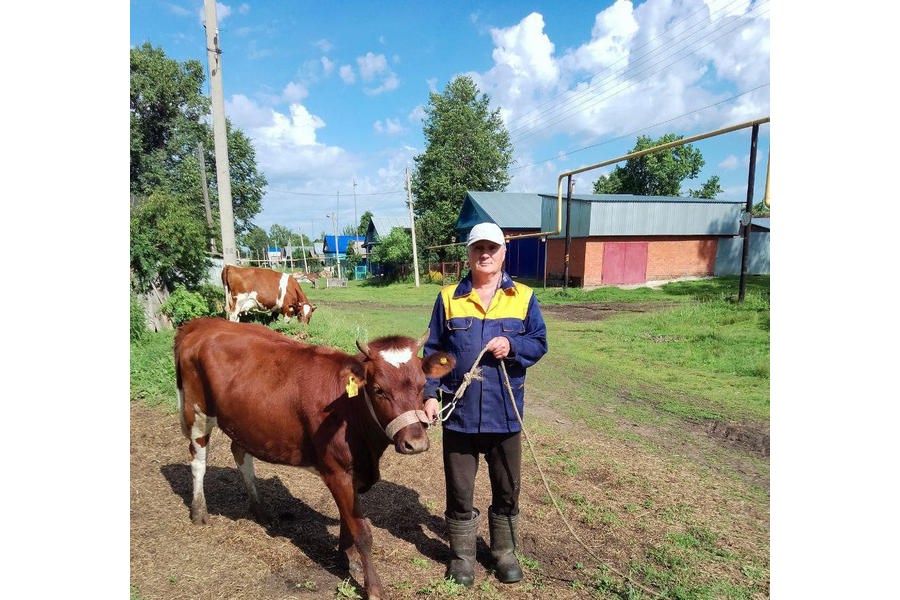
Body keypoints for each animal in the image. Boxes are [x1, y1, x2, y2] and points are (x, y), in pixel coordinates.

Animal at [174, 318, 458, 600]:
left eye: (422, 385)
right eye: (378, 390)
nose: (416, 443)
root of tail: (200, 324)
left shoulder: (354, 472)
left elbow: (347, 519)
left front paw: (347, 557)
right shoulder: (336, 470)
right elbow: (362, 530)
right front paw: (373, 587)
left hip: (243, 421)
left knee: (240, 452)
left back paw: (260, 509)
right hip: (196, 411)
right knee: (198, 461)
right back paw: (199, 511)